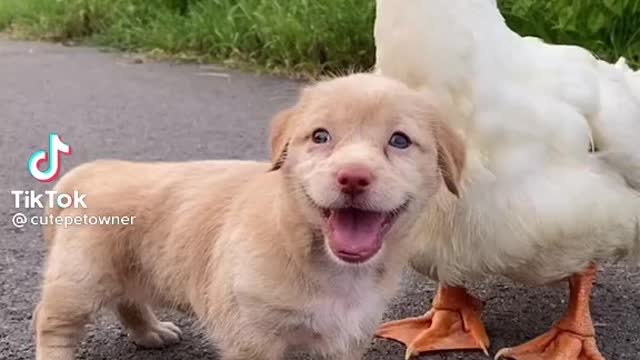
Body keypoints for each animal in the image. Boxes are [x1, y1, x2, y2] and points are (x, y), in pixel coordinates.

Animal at [33, 74, 464, 360]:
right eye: (320, 136)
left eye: (400, 141)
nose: (353, 177)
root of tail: (90, 171)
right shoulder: (252, 334)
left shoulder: (347, 337)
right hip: (80, 280)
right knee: (51, 323)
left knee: (128, 300)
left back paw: (151, 331)